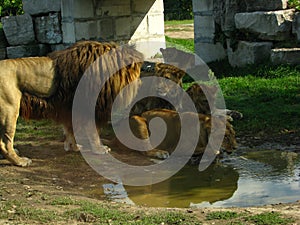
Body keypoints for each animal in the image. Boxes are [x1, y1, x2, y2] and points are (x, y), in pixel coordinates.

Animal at [0, 40, 143, 167]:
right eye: (138, 73)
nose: (141, 84)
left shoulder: (71, 109)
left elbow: (71, 130)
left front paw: (73, 147)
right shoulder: (88, 106)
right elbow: (93, 132)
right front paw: (99, 149)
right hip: (10, 109)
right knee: (5, 143)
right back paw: (21, 161)